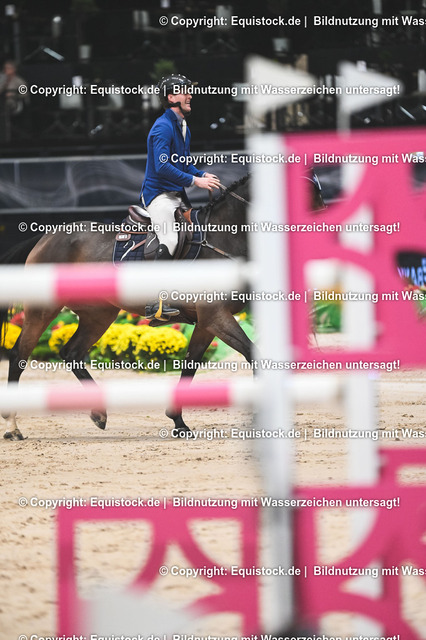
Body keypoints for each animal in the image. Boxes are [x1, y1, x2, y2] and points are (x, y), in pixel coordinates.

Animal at [0, 174, 324, 441]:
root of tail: (46, 236)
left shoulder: (207, 322)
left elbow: (191, 365)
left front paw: (178, 421)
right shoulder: (216, 316)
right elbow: (253, 356)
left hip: (99, 314)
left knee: (72, 353)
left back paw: (99, 413)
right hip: (43, 309)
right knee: (19, 356)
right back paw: (13, 427)